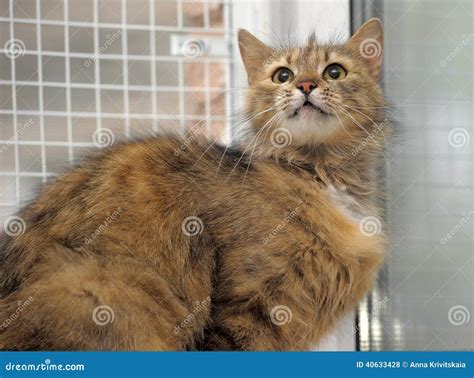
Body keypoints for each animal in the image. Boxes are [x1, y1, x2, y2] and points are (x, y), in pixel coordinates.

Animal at [0, 19, 388, 352]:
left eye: (334, 71)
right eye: (282, 75)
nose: (306, 85)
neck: (317, 173)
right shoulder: (246, 305)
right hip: (99, 287)